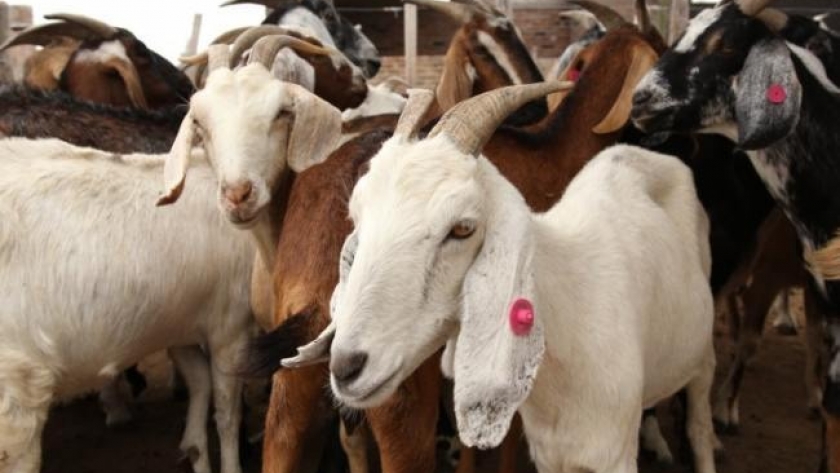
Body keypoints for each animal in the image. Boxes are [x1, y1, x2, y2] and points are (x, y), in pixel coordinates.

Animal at [286, 86, 720, 472]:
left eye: (462, 228)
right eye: (357, 215)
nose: (346, 367)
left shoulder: (613, 457)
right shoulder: (550, 456)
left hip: (702, 360)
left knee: (699, 427)